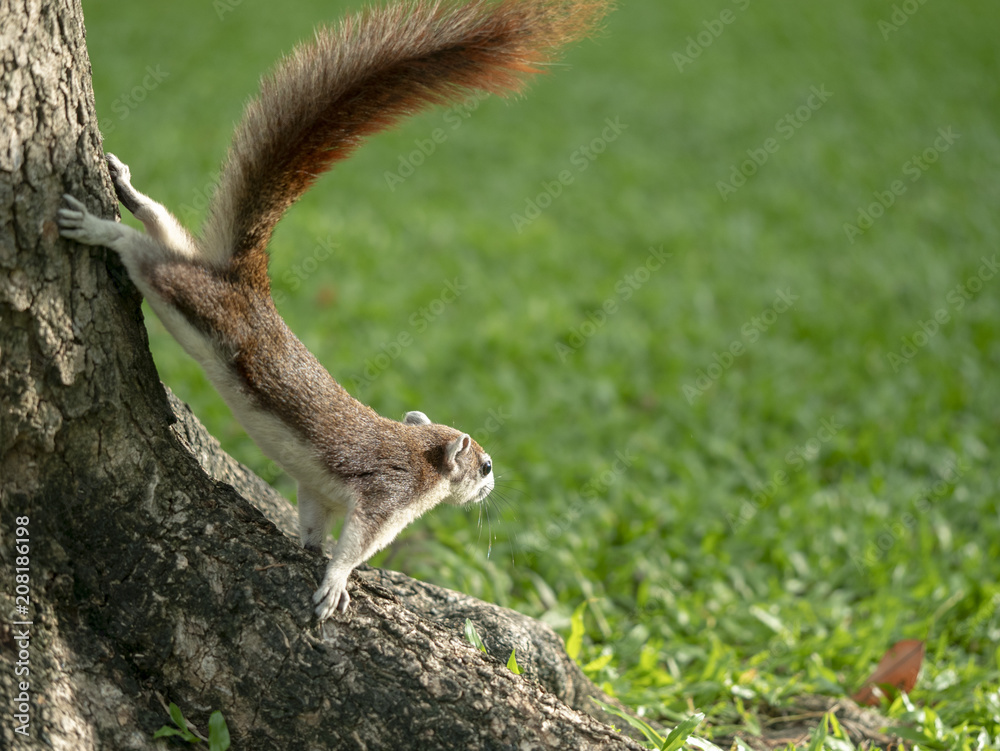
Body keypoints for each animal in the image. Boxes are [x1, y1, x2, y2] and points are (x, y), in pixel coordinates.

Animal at [57, 0, 611, 621]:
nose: (494, 484)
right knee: (147, 257)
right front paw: (337, 580)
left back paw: (126, 188)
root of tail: (245, 284)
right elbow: (358, 542)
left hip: (196, 274)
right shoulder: (387, 496)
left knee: (166, 230)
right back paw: (100, 227)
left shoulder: (318, 490)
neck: (419, 455)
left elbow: (313, 520)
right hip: (199, 302)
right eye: (485, 465)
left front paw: (307, 549)